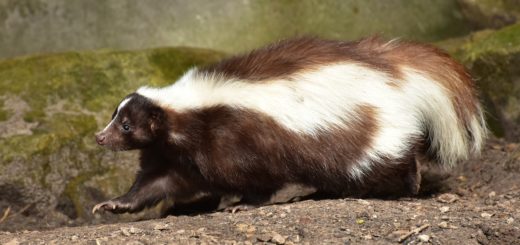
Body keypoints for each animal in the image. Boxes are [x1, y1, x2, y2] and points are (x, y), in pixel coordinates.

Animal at [92, 36, 488, 214]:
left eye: (125, 125)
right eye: (116, 116)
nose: (99, 138)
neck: (184, 114)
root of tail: (391, 72)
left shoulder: (237, 136)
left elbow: (257, 177)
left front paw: (241, 204)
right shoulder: (171, 152)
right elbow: (156, 183)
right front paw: (113, 204)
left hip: (359, 129)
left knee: (378, 159)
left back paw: (408, 183)